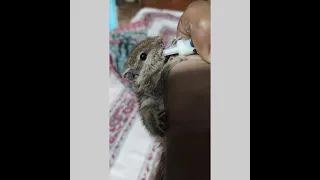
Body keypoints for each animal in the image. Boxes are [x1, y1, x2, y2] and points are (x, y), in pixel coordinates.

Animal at [123, 35, 188, 179]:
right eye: (143, 56)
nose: (160, 39)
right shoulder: (153, 88)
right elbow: (162, 77)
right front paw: (172, 61)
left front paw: (173, 46)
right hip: (148, 112)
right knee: (157, 129)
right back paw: (159, 121)